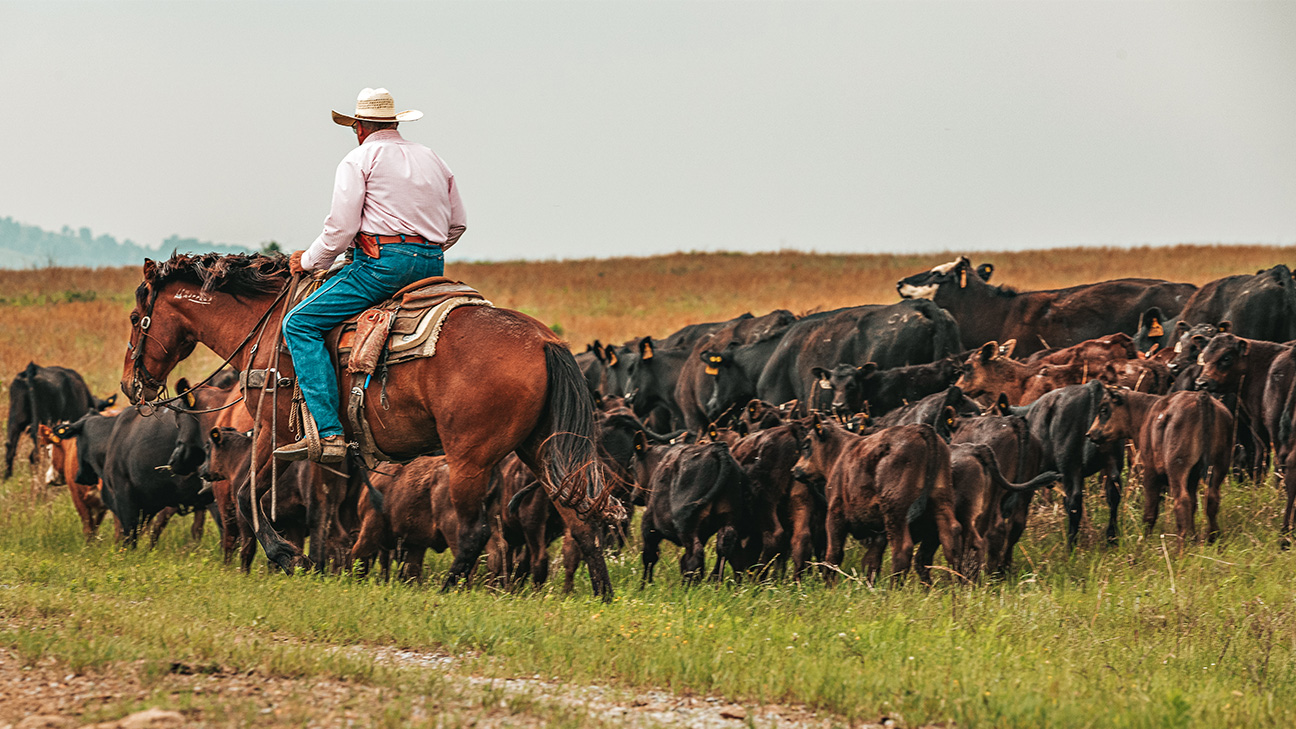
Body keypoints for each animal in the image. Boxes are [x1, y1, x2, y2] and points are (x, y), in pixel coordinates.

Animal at [120, 249, 622, 596]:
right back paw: (602, 596)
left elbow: (249, 498)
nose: (130, 385)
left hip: (471, 459)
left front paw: (289, 557)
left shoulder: (274, 431)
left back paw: (446, 591)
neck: (268, 327)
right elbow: (301, 511)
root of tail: (544, 341)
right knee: (577, 518)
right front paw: (309, 561)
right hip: (540, 449)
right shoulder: (312, 448)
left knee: (476, 531)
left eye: (135, 317)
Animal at [787, 417, 964, 581]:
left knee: (902, 548)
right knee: (951, 534)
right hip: (941, 500)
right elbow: (871, 561)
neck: (839, 454)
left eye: (806, 445)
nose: (794, 470)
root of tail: (919, 429)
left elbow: (834, 553)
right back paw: (959, 585)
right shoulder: (879, 529)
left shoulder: (835, 514)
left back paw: (894, 589)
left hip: (895, 510)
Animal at [1088, 389, 1228, 542]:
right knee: (1212, 498)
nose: (1090, 433)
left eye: (1104, 410)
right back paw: (1213, 538)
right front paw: (1194, 538)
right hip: (1218, 466)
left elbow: (1150, 511)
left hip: (1176, 470)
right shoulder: (1192, 477)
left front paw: (1144, 541)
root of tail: (1201, 397)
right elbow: (1193, 504)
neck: (1146, 412)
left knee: (1182, 502)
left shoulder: (1150, 471)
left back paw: (1181, 546)